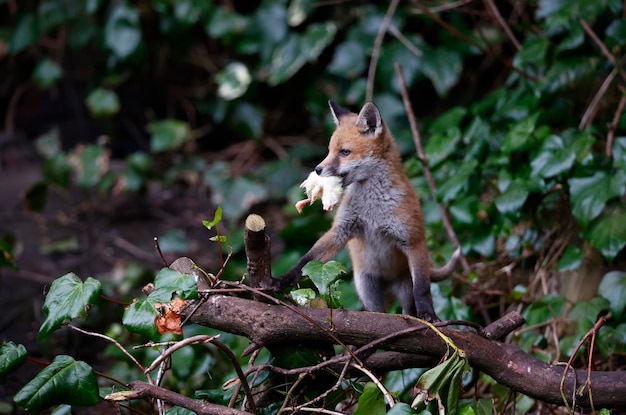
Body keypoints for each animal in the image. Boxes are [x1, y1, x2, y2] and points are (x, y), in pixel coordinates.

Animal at [264, 101, 458, 322]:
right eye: (329, 150)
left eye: (344, 152)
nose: (318, 169)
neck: (372, 209)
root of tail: (388, 279)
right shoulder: (341, 231)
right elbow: (305, 261)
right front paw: (280, 280)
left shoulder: (413, 240)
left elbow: (423, 288)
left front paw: (429, 315)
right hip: (366, 288)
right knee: (376, 312)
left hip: (403, 289)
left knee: (408, 308)